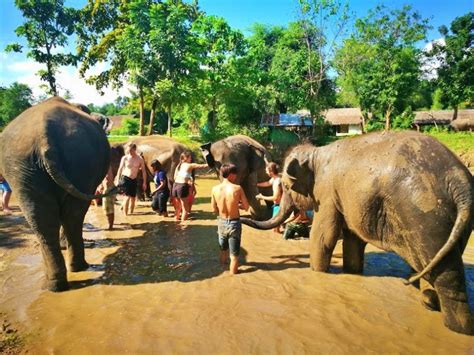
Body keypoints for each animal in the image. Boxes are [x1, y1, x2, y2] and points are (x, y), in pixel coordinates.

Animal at [0, 96, 114, 292]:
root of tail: (44, 136)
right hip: (30, 165)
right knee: (61, 216)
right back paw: (66, 276)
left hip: (38, 166)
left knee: (51, 217)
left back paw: (61, 279)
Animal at [243, 131, 472, 336]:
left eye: (286, 186)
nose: (242, 219)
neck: (316, 153)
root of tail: (460, 181)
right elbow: (352, 239)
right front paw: (352, 272)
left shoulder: (326, 192)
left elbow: (324, 236)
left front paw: (317, 272)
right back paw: (428, 301)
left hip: (424, 215)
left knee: (444, 273)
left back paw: (456, 327)